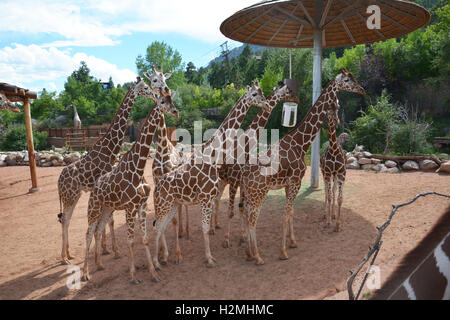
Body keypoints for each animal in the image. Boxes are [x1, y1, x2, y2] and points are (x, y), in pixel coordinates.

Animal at [56, 69, 169, 264]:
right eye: (148, 86)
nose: (157, 94)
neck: (110, 147)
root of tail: (58, 181)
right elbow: (110, 220)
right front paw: (111, 250)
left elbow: (109, 220)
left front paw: (106, 249)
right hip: (70, 196)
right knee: (66, 220)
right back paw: (64, 258)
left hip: (73, 195)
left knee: (66, 219)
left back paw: (69, 254)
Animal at [81, 87, 178, 282]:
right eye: (162, 101)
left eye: (172, 100)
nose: (175, 112)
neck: (138, 167)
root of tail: (95, 186)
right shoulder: (130, 207)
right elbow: (131, 241)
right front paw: (133, 275)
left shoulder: (142, 205)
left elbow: (145, 239)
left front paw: (154, 272)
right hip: (94, 208)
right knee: (88, 233)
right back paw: (85, 274)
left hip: (107, 209)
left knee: (98, 230)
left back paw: (99, 265)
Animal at [153, 81, 268, 268]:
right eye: (254, 94)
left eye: (262, 92)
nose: (266, 104)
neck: (212, 154)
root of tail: (156, 188)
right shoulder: (206, 198)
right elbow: (205, 228)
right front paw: (209, 259)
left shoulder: (208, 198)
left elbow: (206, 227)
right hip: (164, 206)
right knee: (157, 228)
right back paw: (157, 263)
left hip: (171, 206)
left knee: (160, 227)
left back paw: (163, 259)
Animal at [221, 82, 300, 248]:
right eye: (289, 90)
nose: (297, 99)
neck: (246, 143)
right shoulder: (235, 180)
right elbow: (232, 210)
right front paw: (226, 240)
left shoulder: (241, 181)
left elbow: (242, 208)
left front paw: (243, 238)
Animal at [241, 69, 364, 264]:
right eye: (346, 80)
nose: (362, 89)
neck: (301, 143)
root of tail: (244, 174)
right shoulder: (295, 182)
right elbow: (286, 215)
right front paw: (283, 252)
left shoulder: (289, 184)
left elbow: (291, 213)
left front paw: (292, 242)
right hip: (259, 193)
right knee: (252, 220)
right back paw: (258, 256)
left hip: (249, 194)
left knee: (246, 217)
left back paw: (249, 253)